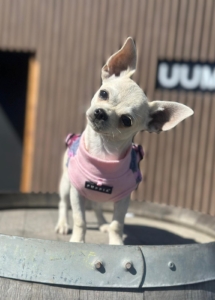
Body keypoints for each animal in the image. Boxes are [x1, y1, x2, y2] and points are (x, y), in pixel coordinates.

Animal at [55, 37, 193, 245]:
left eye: (126, 120)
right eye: (103, 94)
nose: (101, 113)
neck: (103, 152)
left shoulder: (123, 200)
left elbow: (116, 224)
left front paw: (116, 244)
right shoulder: (76, 192)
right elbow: (80, 219)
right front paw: (78, 241)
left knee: (97, 206)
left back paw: (102, 223)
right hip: (65, 184)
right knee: (63, 204)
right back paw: (63, 224)